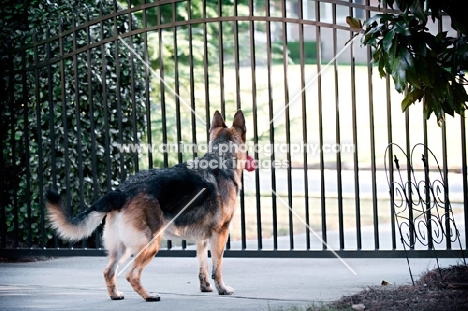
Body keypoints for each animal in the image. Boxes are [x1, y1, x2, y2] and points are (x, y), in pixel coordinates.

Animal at [46, 110, 250, 302]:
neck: (220, 157)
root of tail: (121, 191)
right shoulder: (220, 233)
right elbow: (217, 266)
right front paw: (222, 289)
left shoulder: (202, 238)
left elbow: (203, 265)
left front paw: (206, 286)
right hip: (151, 244)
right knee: (131, 274)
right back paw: (149, 296)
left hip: (122, 248)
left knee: (108, 271)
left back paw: (116, 295)